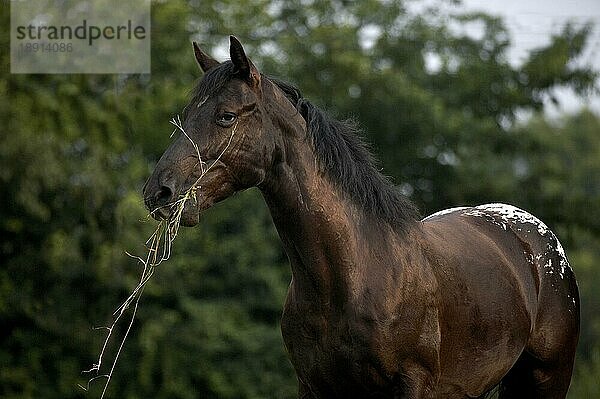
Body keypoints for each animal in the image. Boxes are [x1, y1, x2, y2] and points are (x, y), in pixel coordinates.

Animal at [143, 36, 580, 398]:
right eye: (186, 113)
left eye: (227, 116)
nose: (158, 192)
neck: (353, 275)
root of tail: (538, 240)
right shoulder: (313, 388)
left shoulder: (414, 385)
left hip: (547, 380)